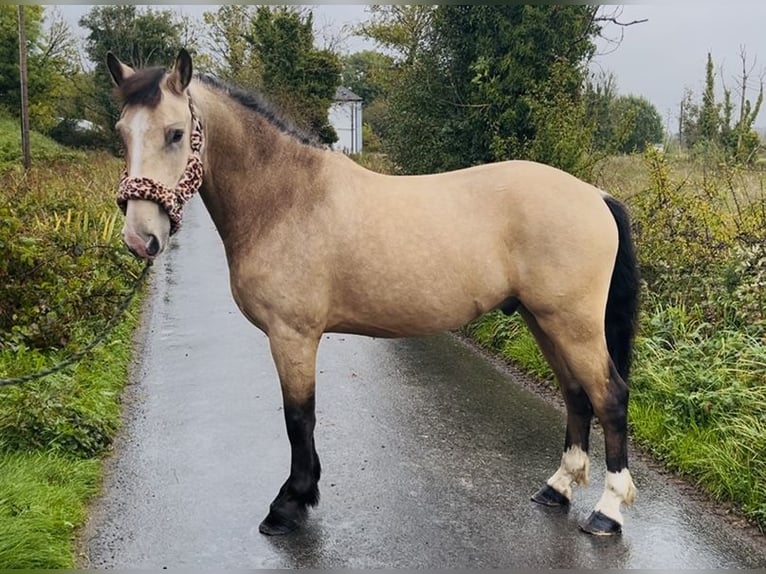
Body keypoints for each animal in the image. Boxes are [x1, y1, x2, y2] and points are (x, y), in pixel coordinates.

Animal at [107, 49, 640, 537]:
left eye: (176, 133)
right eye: (121, 133)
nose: (140, 237)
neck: (285, 199)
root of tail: (595, 195)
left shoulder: (292, 335)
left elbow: (299, 418)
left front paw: (290, 504)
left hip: (572, 323)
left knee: (609, 396)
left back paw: (607, 511)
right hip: (542, 319)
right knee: (576, 394)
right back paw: (557, 488)